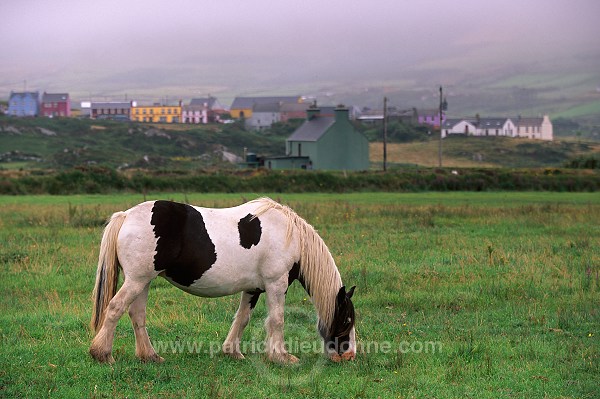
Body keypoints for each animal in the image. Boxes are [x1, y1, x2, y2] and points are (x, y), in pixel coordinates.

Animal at [89, 198, 356, 366]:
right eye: (347, 320)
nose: (349, 355)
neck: (291, 236)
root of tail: (125, 216)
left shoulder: (253, 289)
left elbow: (242, 318)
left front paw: (232, 352)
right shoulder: (276, 284)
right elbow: (277, 320)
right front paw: (281, 357)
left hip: (142, 281)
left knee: (137, 315)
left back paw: (149, 356)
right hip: (137, 280)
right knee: (115, 308)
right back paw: (102, 354)